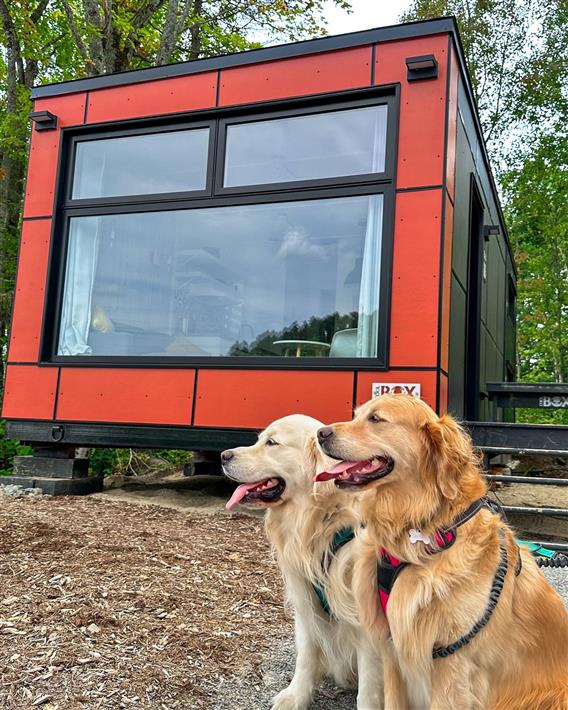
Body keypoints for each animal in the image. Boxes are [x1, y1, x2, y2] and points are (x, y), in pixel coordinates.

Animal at [220, 418, 384, 710]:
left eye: (272, 443)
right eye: (259, 439)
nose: (223, 456)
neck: (325, 523)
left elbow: (368, 684)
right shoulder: (306, 600)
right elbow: (306, 655)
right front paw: (295, 696)